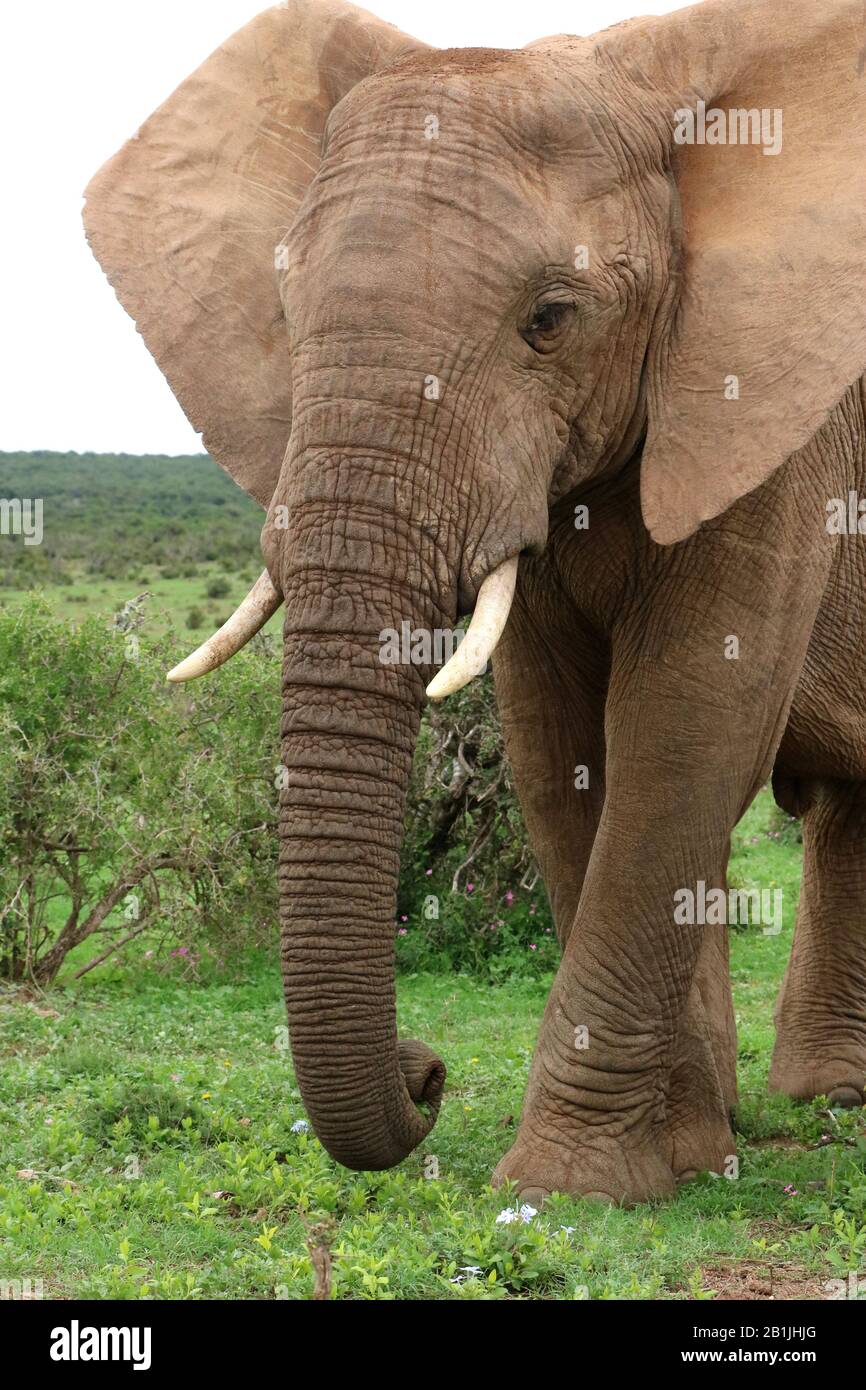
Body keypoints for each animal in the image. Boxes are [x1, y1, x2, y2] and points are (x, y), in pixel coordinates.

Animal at [84, 0, 866, 1206]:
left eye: (550, 318)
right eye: (284, 308)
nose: (427, 1072)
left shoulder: (777, 406)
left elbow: (687, 726)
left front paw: (574, 1184)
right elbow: (557, 749)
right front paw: (686, 1153)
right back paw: (824, 1096)